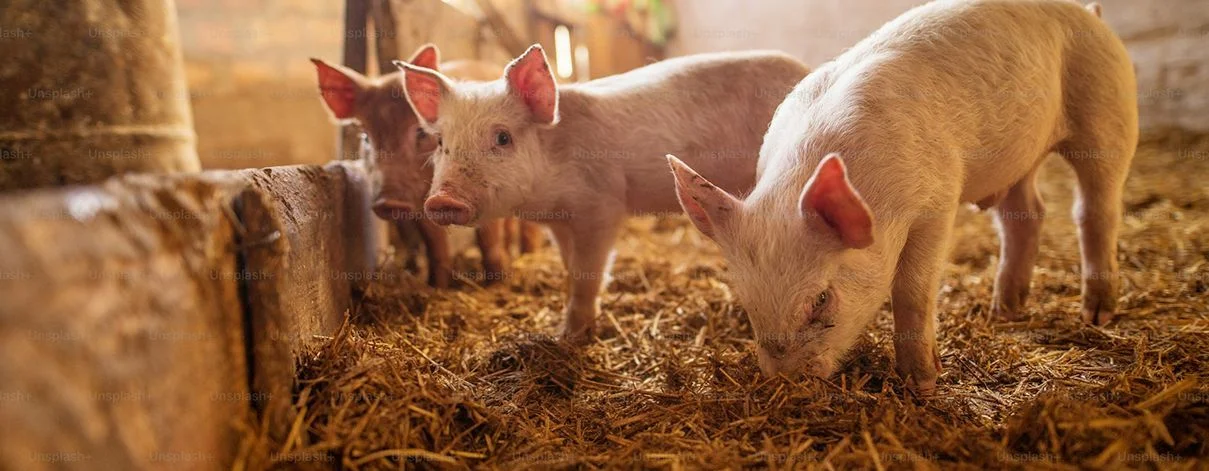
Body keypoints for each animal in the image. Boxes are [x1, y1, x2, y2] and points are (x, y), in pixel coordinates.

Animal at [311, 45, 545, 288]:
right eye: (366, 137)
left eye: (421, 132)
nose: (388, 202)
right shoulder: (422, 203)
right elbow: (435, 244)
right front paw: (436, 286)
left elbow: (488, 240)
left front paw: (495, 286)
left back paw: (527, 256)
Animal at [394, 46, 810, 340]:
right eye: (441, 142)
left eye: (502, 138)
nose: (442, 200)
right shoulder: (559, 223)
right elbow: (569, 266)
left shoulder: (602, 205)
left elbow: (587, 273)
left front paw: (571, 336)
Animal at [667, 0, 1137, 393]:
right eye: (746, 301)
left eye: (820, 301)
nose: (786, 382)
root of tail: (1090, 13)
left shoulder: (936, 203)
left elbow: (911, 291)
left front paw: (923, 384)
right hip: (1018, 157)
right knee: (1025, 215)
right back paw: (1003, 311)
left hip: (1107, 112)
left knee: (1096, 208)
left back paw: (1097, 314)